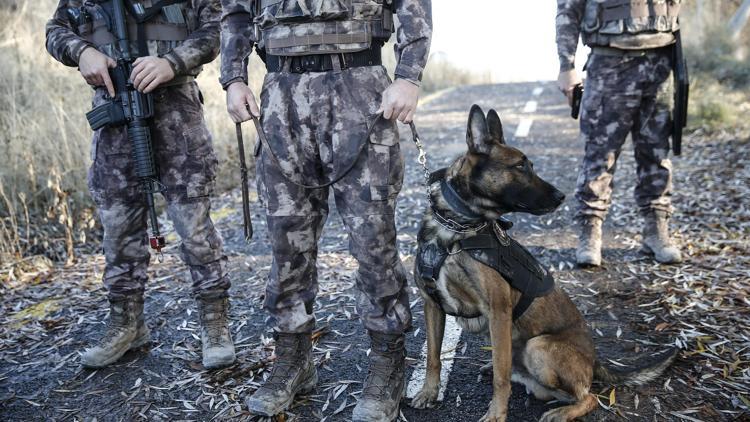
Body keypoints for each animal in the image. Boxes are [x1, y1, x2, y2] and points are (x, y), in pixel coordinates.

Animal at [408, 104, 680, 420]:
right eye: (519, 166)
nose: (562, 196)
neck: (458, 230)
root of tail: (595, 360)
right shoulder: (432, 305)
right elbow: (433, 356)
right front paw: (429, 392)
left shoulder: (498, 312)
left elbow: (500, 377)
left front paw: (497, 413)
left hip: (538, 347)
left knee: (589, 396)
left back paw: (562, 412)